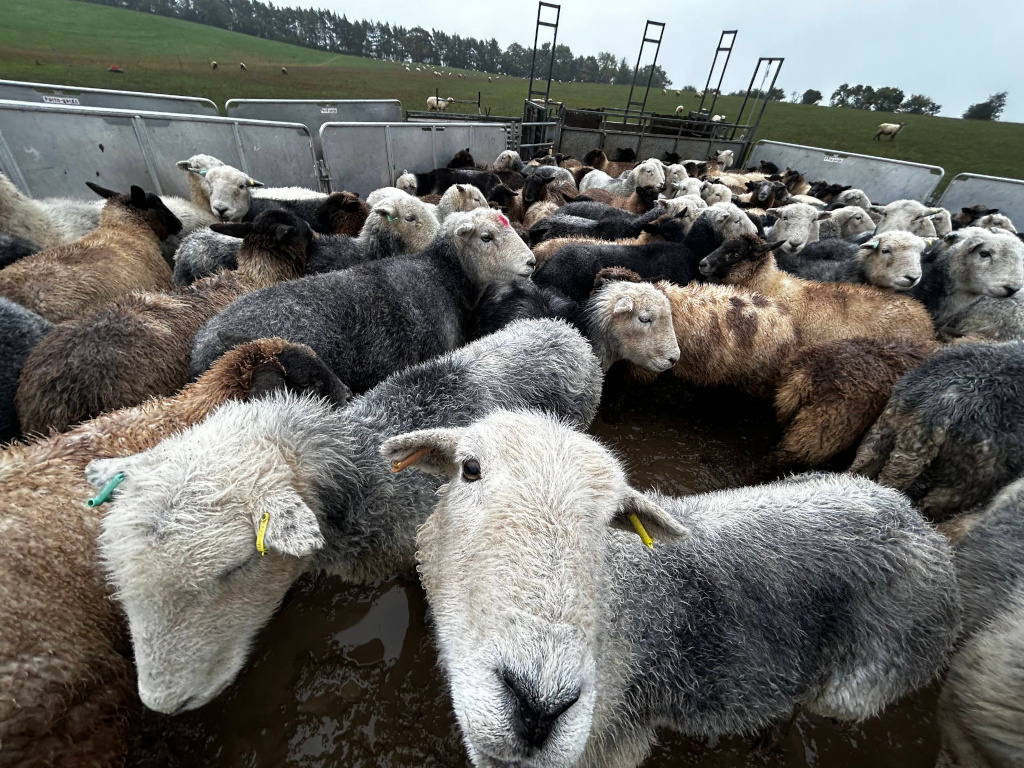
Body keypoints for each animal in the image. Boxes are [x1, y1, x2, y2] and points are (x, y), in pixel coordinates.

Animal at [387, 411, 960, 768]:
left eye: (614, 519)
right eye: (470, 469)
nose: (539, 707)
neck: (620, 602)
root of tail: (913, 519)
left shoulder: (612, 741)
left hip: (863, 686)